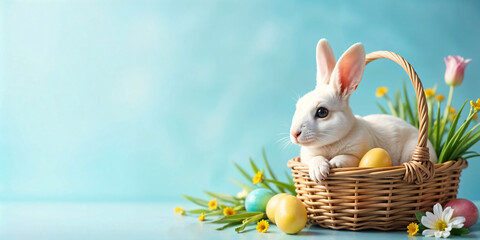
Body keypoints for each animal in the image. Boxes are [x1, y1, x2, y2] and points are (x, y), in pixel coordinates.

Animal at [290, 39, 436, 182]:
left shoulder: (358, 155)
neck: (331, 144)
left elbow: (348, 158)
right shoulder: (307, 158)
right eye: (298, 105)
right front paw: (318, 172)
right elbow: (315, 159)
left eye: (322, 112)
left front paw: (334, 163)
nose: (294, 134)